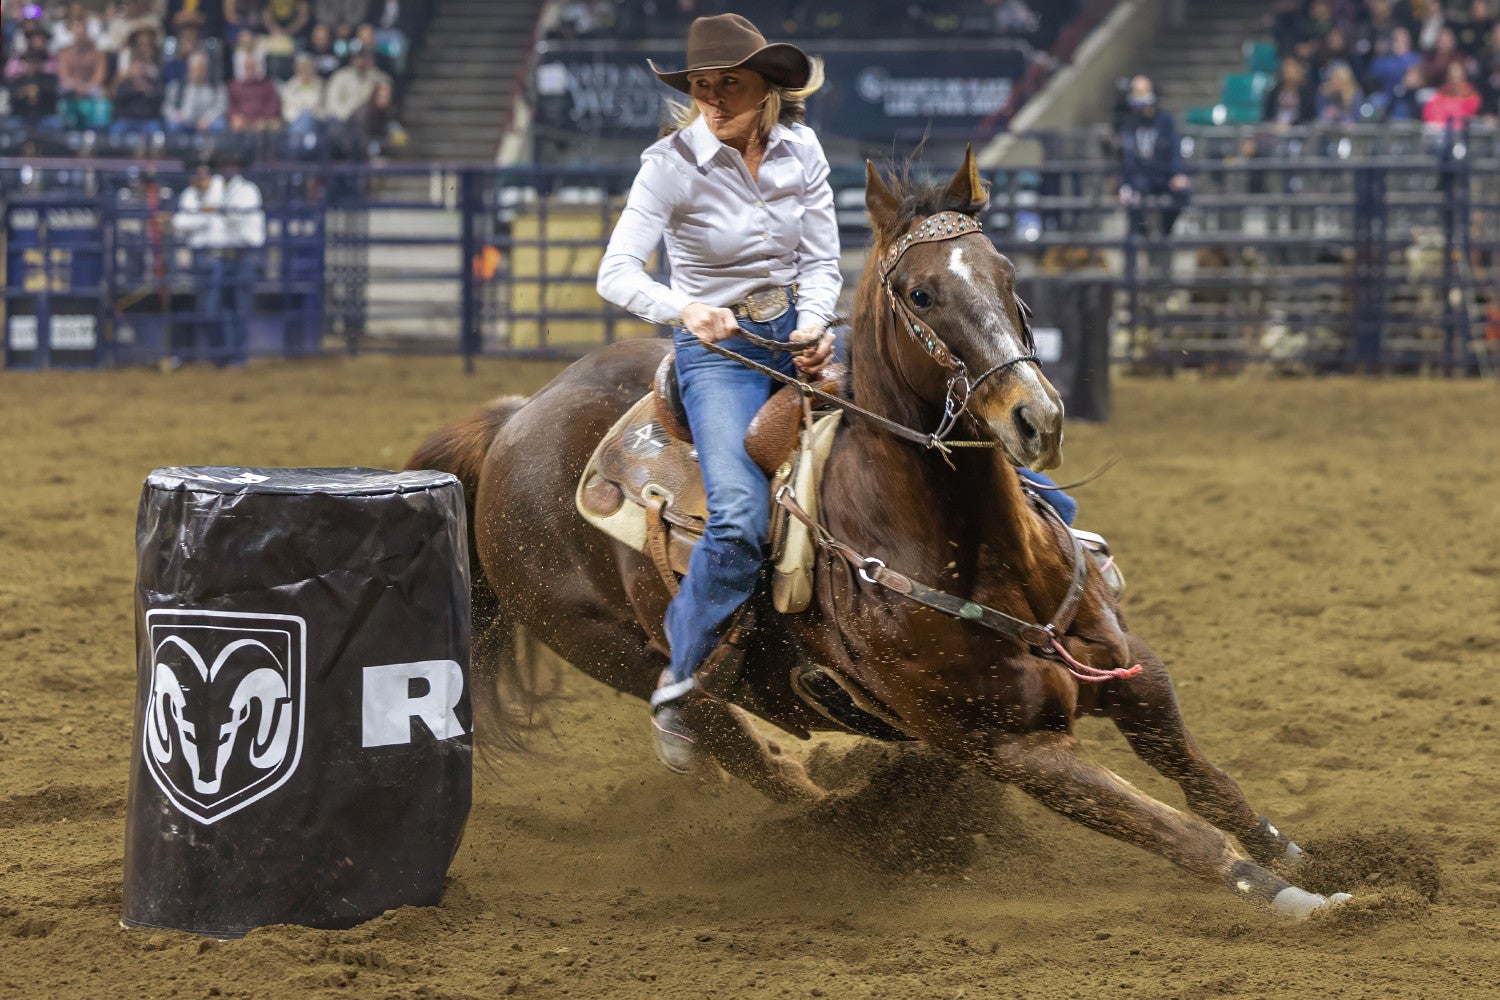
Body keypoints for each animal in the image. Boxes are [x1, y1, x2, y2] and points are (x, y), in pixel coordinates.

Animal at [411, 150, 1350, 923]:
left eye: (1008, 273)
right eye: (922, 294)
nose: (1037, 419)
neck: (974, 552)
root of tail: (514, 420)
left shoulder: (1133, 671)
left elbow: (1212, 787)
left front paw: (1327, 863)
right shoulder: (1014, 747)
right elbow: (1177, 832)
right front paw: (1302, 903)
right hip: (616, 653)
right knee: (745, 754)